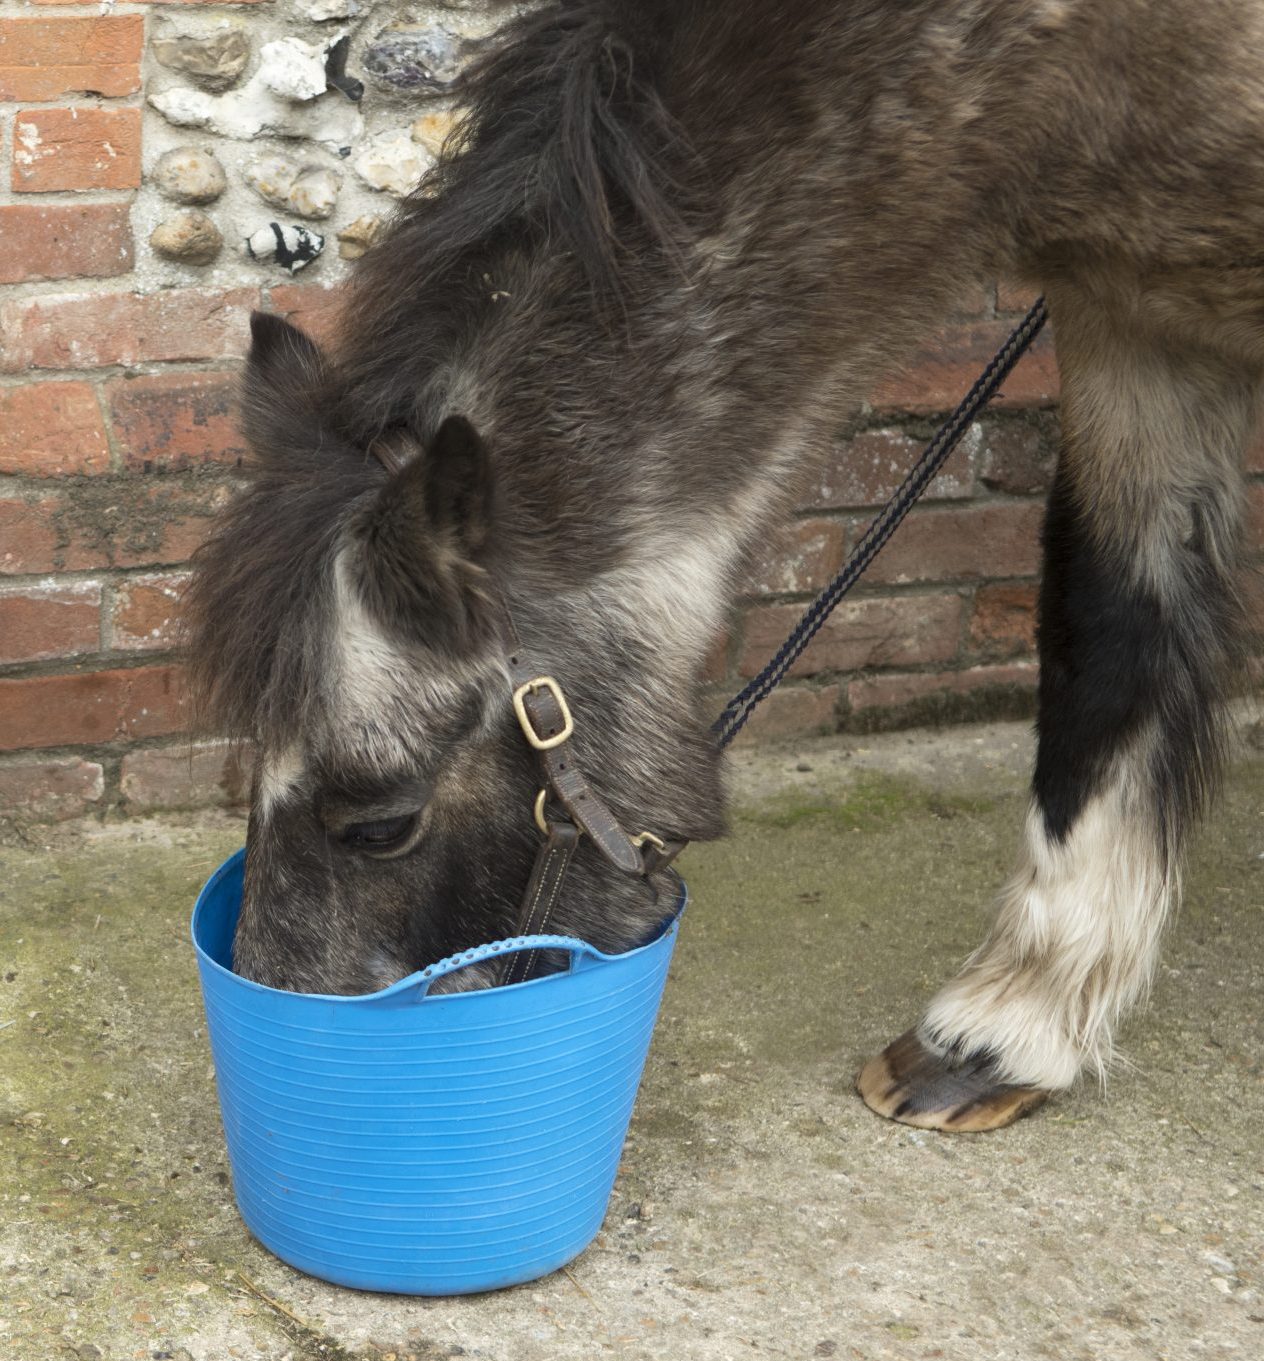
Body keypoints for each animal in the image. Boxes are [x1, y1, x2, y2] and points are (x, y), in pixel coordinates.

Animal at [185, 0, 1263, 1133]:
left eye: (381, 824)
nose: (291, 1027)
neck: (1087, 58)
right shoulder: (1134, 317)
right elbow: (1112, 630)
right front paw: (1016, 1023)